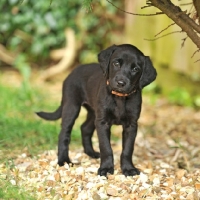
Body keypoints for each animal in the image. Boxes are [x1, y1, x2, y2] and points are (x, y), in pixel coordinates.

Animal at [36, 44, 157, 177]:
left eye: (135, 69)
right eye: (116, 63)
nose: (121, 83)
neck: (119, 98)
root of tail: (73, 71)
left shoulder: (131, 125)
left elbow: (128, 149)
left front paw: (128, 168)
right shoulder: (102, 122)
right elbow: (106, 147)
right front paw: (106, 168)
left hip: (93, 113)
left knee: (85, 128)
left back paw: (91, 153)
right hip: (71, 106)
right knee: (64, 133)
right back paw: (64, 160)